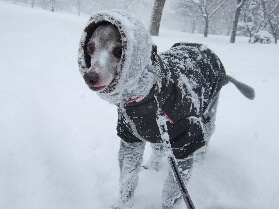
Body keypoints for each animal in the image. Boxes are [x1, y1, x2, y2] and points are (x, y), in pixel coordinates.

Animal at [78, 10, 256, 209]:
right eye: (90, 47)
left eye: (118, 50)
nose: (90, 77)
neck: (147, 96)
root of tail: (208, 51)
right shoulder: (130, 140)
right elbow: (127, 179)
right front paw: (123, 204)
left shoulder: (185, 143)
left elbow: (172, 193)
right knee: (159, 149)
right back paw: (152, 165)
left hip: (208, 115)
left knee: (205, 142)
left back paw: (201, 163)